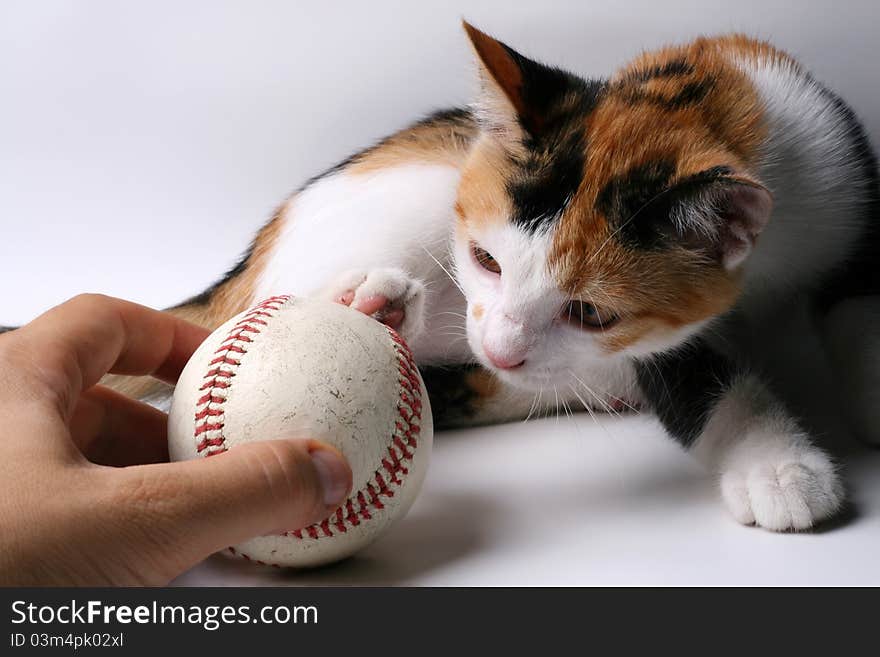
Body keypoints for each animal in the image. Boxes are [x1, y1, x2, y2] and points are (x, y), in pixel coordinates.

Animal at [120, 23, 876, 532]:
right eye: (486, 260)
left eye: (591, 313)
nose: (500, 347)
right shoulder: (659, 339)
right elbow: (693, 373)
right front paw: (779, 466)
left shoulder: (844, 175)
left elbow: (858, 304)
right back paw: (366, 306)